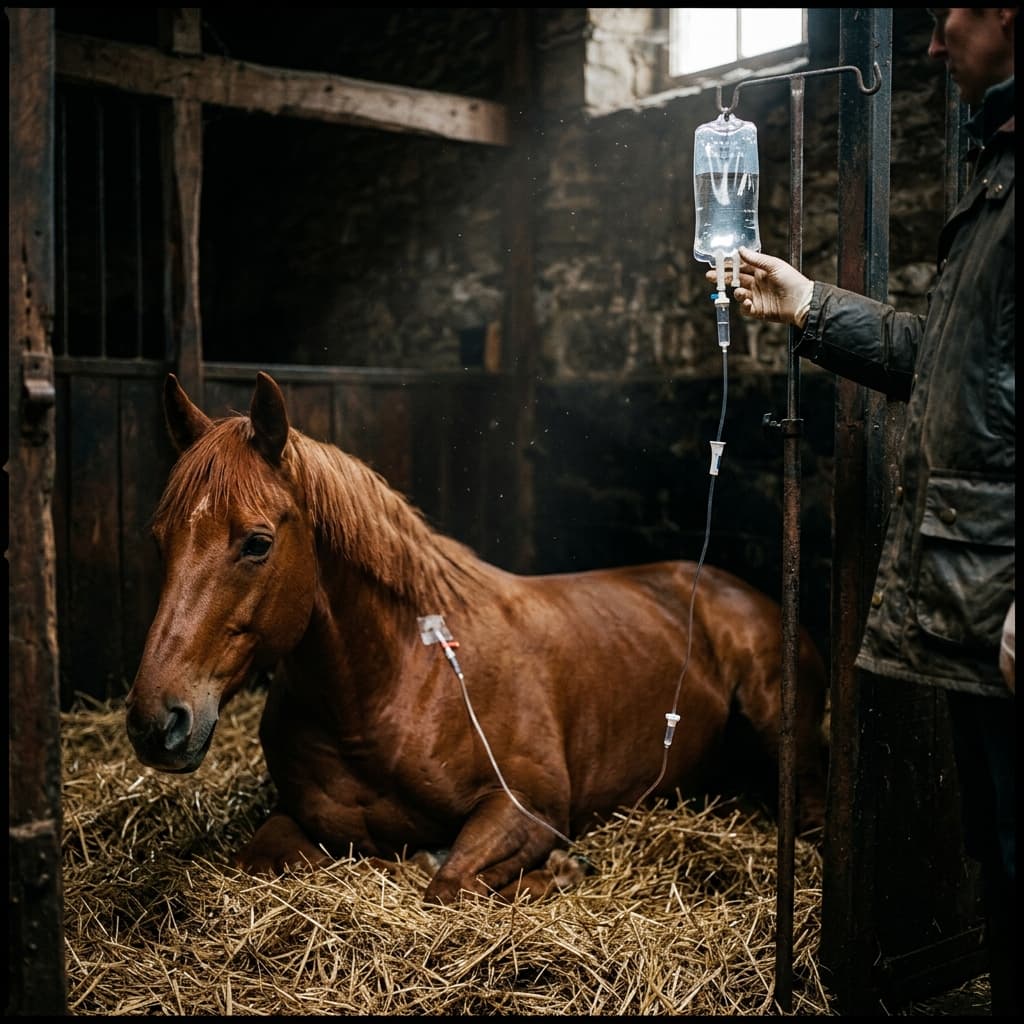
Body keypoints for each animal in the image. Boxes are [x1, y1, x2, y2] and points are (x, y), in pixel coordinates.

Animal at [126, 371, 828, 904]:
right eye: (159, 539)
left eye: (257, 543)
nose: (155, 722)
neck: (395, 687)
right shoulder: (298, 818)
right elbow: (266, 859)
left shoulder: (526, 809)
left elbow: (449, 883)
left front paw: (562, 869)